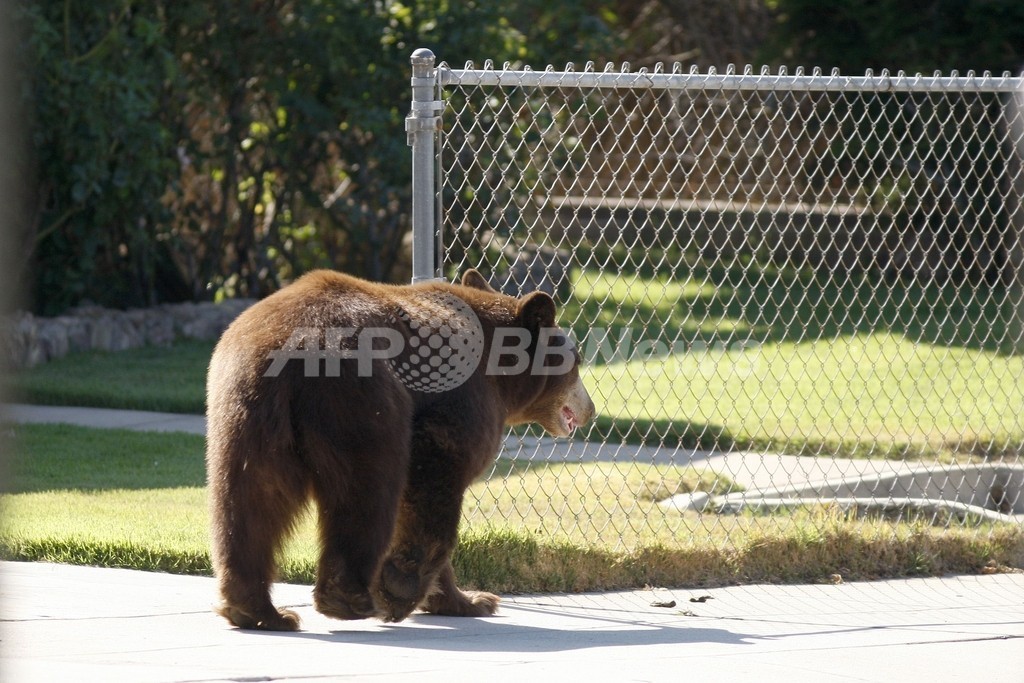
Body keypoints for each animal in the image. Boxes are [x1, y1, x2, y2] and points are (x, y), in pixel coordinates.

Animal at [204, 266, 598, 630]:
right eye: (576, 361)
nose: (590, 409)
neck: (500, 374)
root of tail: (289, 345)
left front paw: (470, 599)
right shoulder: (458, 401)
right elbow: (435, 476)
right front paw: (403, 587)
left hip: (245, 411)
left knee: (251, 500)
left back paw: (258, 611)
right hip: (361, 399)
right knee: (367, 488)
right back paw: (350, 598)